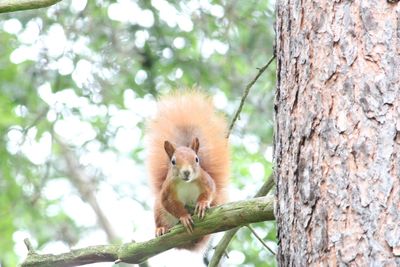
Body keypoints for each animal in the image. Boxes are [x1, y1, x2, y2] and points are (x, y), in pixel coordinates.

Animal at [147, 91, 230, 250]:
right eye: (173, 161)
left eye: (196, 159)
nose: (186, 172)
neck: (186, 183)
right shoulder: (167, 191)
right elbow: (169, 204)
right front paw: (184, 216)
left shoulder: (206, 180)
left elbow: (210, 192)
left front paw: (202, 204)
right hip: (159, 211)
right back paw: (161, 229)